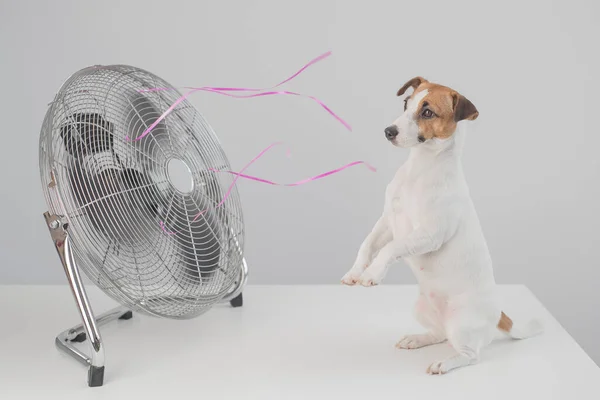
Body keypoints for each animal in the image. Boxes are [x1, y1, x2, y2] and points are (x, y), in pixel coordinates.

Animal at [340, 77, 540, 376]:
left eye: (427, 112)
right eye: (405, 103)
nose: (388, 131)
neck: (420, 168)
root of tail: (499, 314)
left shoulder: (428, 234)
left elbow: (391, 248)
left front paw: (373, 274)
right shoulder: (387, 221)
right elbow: (368, 245)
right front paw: (355, 272)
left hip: (462, 323)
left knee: (470, 355)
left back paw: (443, 363)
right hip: (422, 309)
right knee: (439, 333)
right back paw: (417, 339)